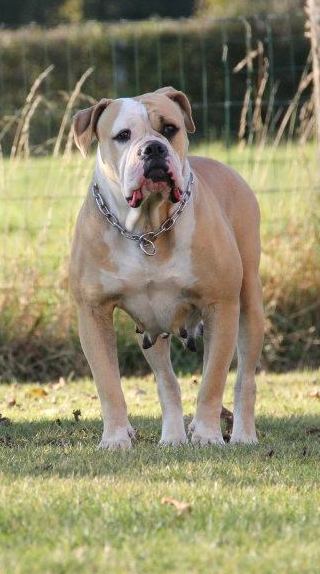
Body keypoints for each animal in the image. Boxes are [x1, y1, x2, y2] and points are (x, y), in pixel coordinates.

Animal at [69, 88, 262, 452]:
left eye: (170, 128)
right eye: (123, 135)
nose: (153, 148)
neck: (148, 228)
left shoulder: (221, 305)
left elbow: (213, 380)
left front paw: (207, 435)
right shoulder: (92, 312)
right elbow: (108, 384)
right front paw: (116, 438)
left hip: (249, 304)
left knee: (245, 377)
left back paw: (243, 434)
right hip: (150, 327)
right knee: (166, 381)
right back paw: (172, 437)